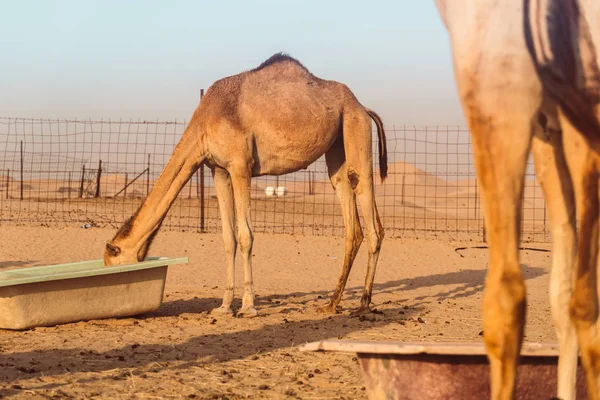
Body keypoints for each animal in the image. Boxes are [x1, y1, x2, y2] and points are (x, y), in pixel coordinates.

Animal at [105, 52, 386, 316]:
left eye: (113, 266)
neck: (206, 121)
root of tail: (363, 107)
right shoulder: (218, 170)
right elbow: (228, 238)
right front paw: (224, 306)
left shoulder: (241, 166)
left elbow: (245, 235)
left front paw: (248, 306)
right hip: (337, 146)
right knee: (351, 217)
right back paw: (332, 303)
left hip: (355, 128)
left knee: (368, 210)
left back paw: (363, 304)